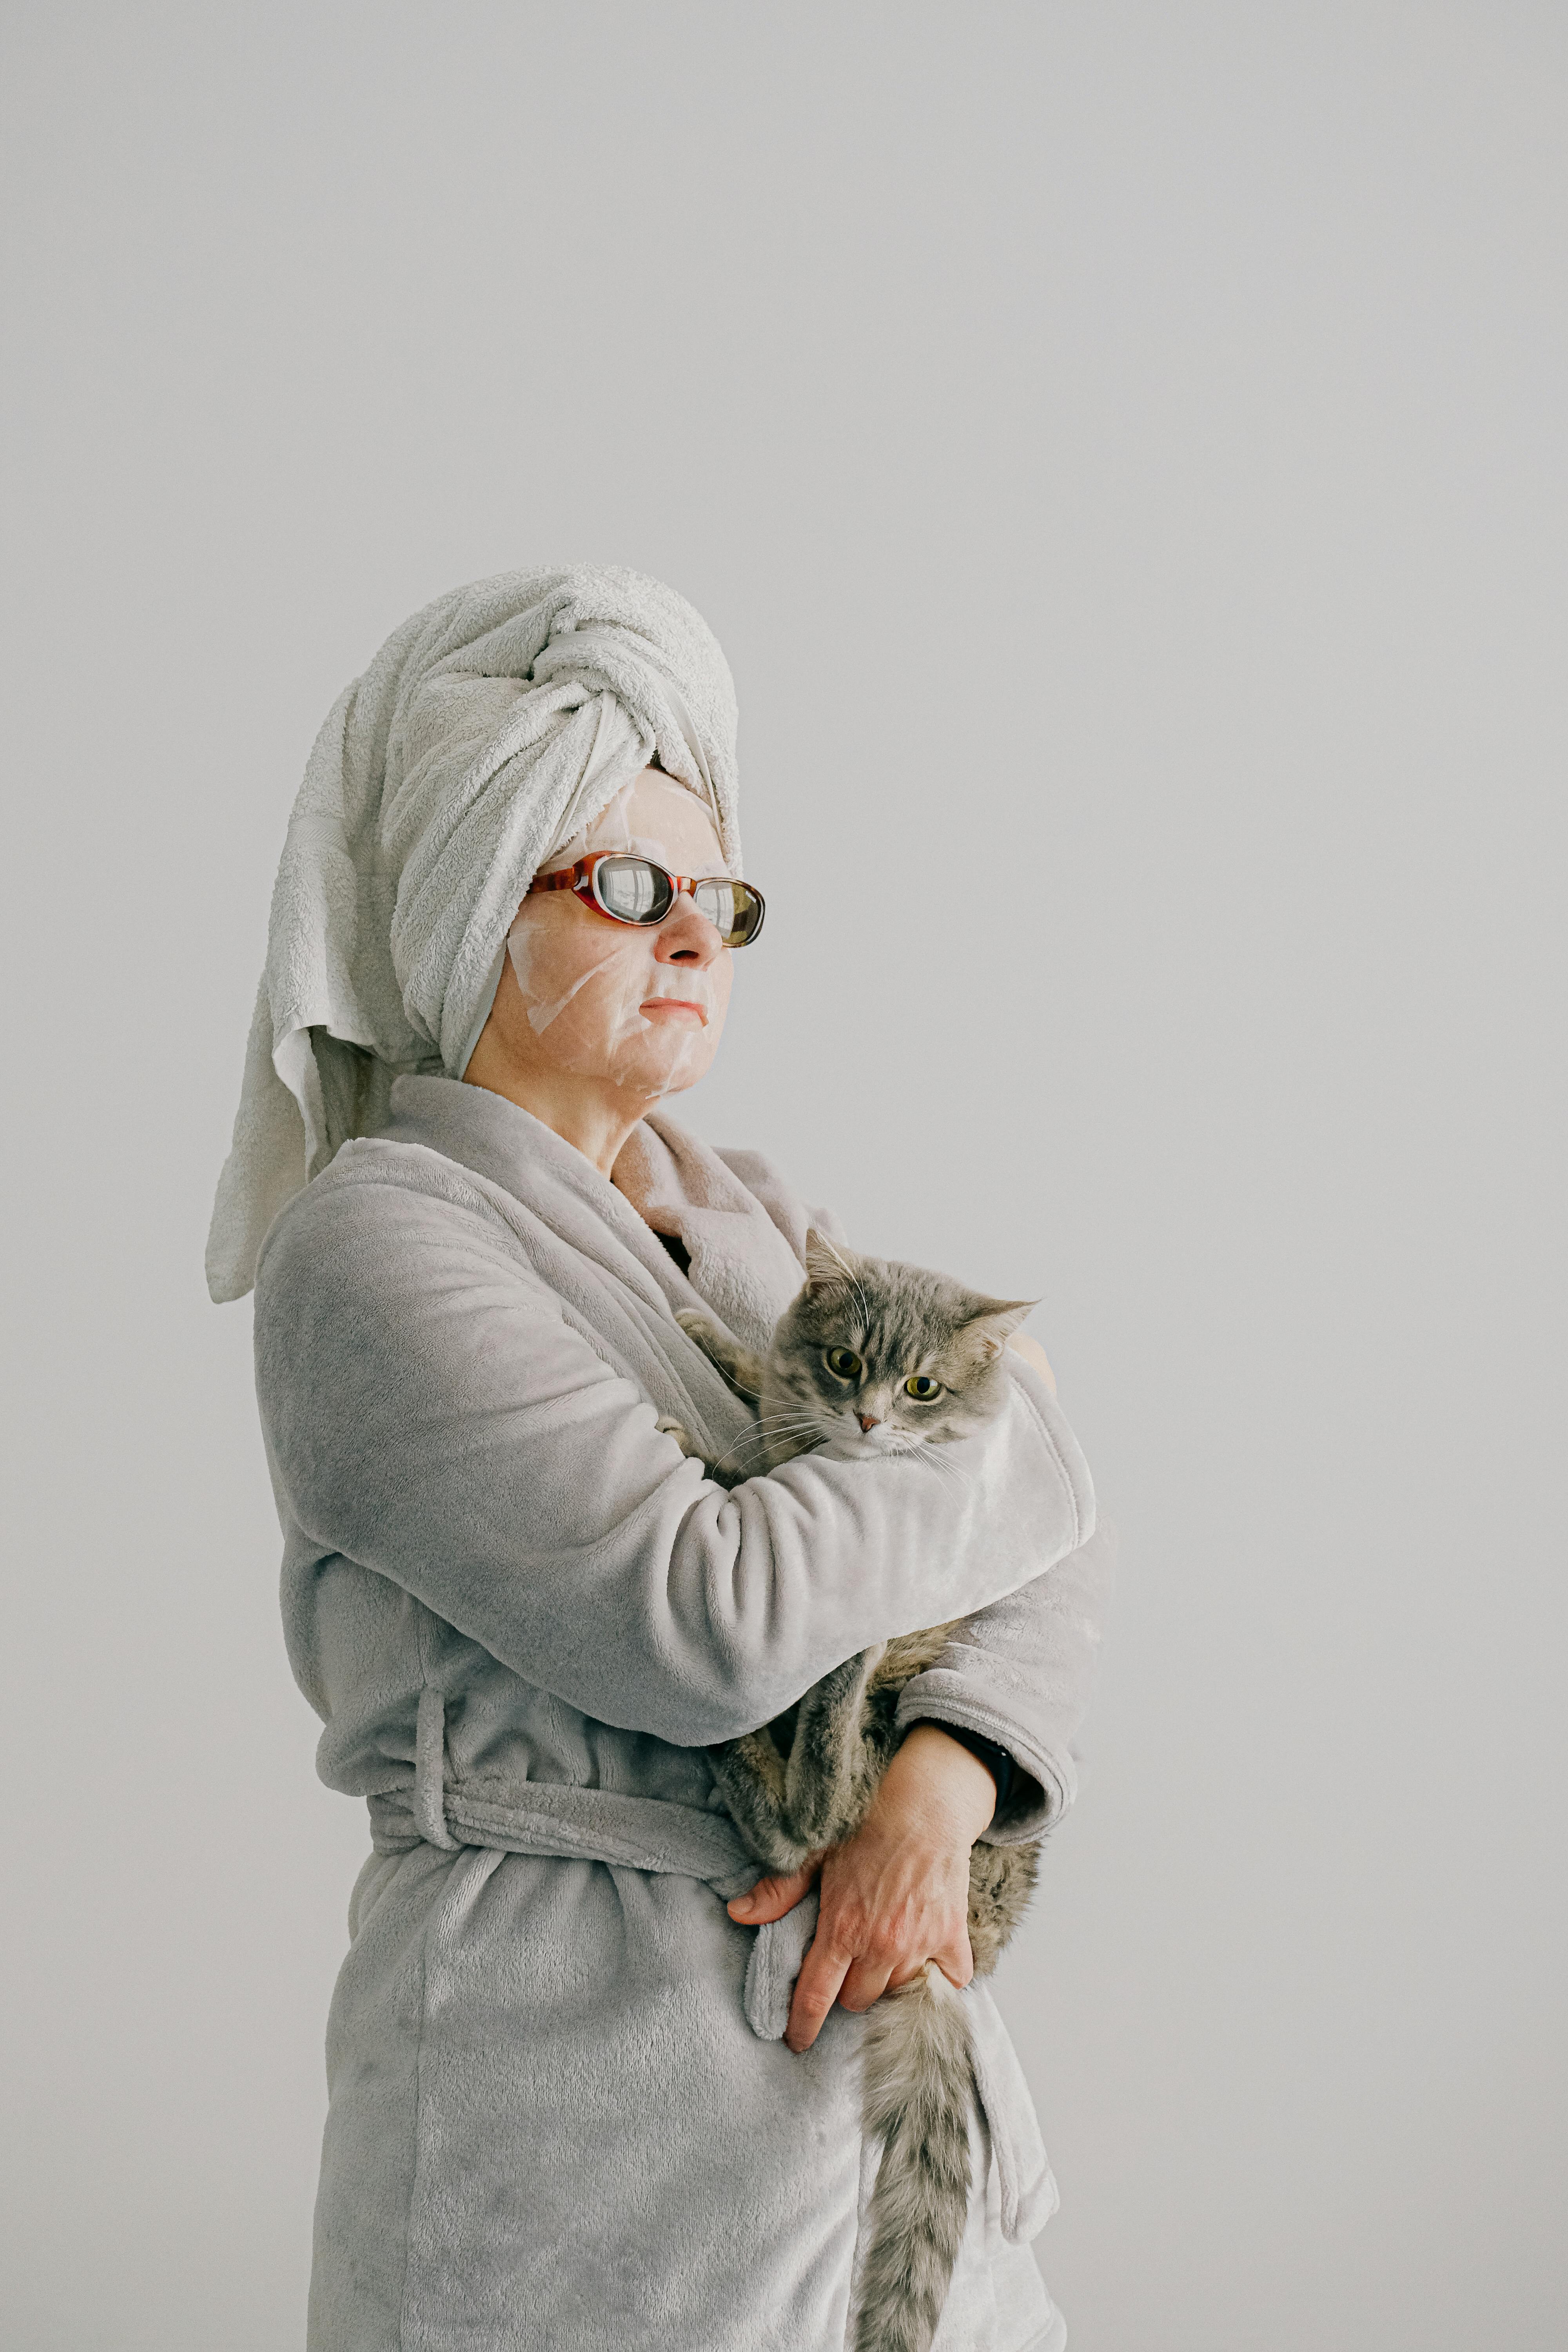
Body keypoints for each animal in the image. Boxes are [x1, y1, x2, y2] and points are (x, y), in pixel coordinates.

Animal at [663, 1232, 1044, 2352]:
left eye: (920, 1387)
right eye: (845, 1364)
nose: (869, 1421)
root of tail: (961, 1951)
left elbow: (749, 1470)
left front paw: (715, 1441)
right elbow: (761, 1386)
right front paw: (722, 1341)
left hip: (872, 1723)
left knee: (808, 1819)